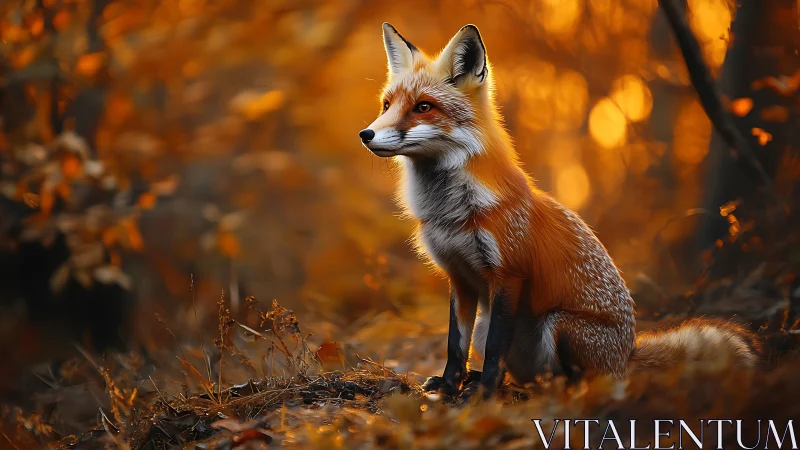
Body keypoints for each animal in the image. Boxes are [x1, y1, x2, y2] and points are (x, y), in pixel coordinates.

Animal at [359, 23, 759, 398]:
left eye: (423, 107)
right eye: (387, 106)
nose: (366, 134)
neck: (452, 212)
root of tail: (627, 356)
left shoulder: (509, 274)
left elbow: (495, 349)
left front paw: (484, 391)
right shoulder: (460, 277)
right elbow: (455, 344)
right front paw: (448, 384)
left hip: (559, 324)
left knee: (575, 383)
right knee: (534, 375)